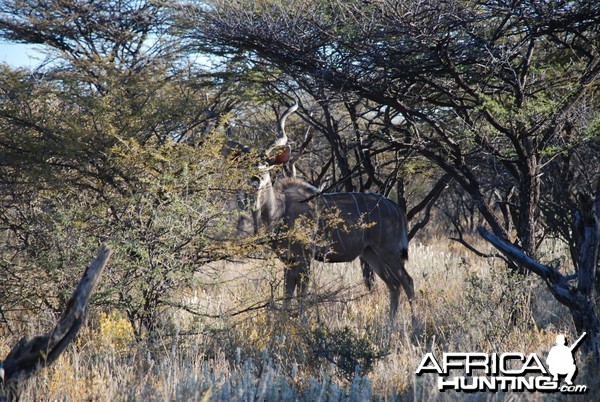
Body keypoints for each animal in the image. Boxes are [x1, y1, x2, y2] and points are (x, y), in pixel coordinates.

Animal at [239, 99, 412, 318]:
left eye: (267, 166)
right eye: (247, 166)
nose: (256, 179)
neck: (280, 211)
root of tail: (398, 209)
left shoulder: (304, 257)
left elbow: (302, 294)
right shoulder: (288, 260)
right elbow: (287, 295)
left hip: (388, 250)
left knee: (407, 281)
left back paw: (414, 324)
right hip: (370, 253)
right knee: (393, 285)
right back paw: (390, 323)